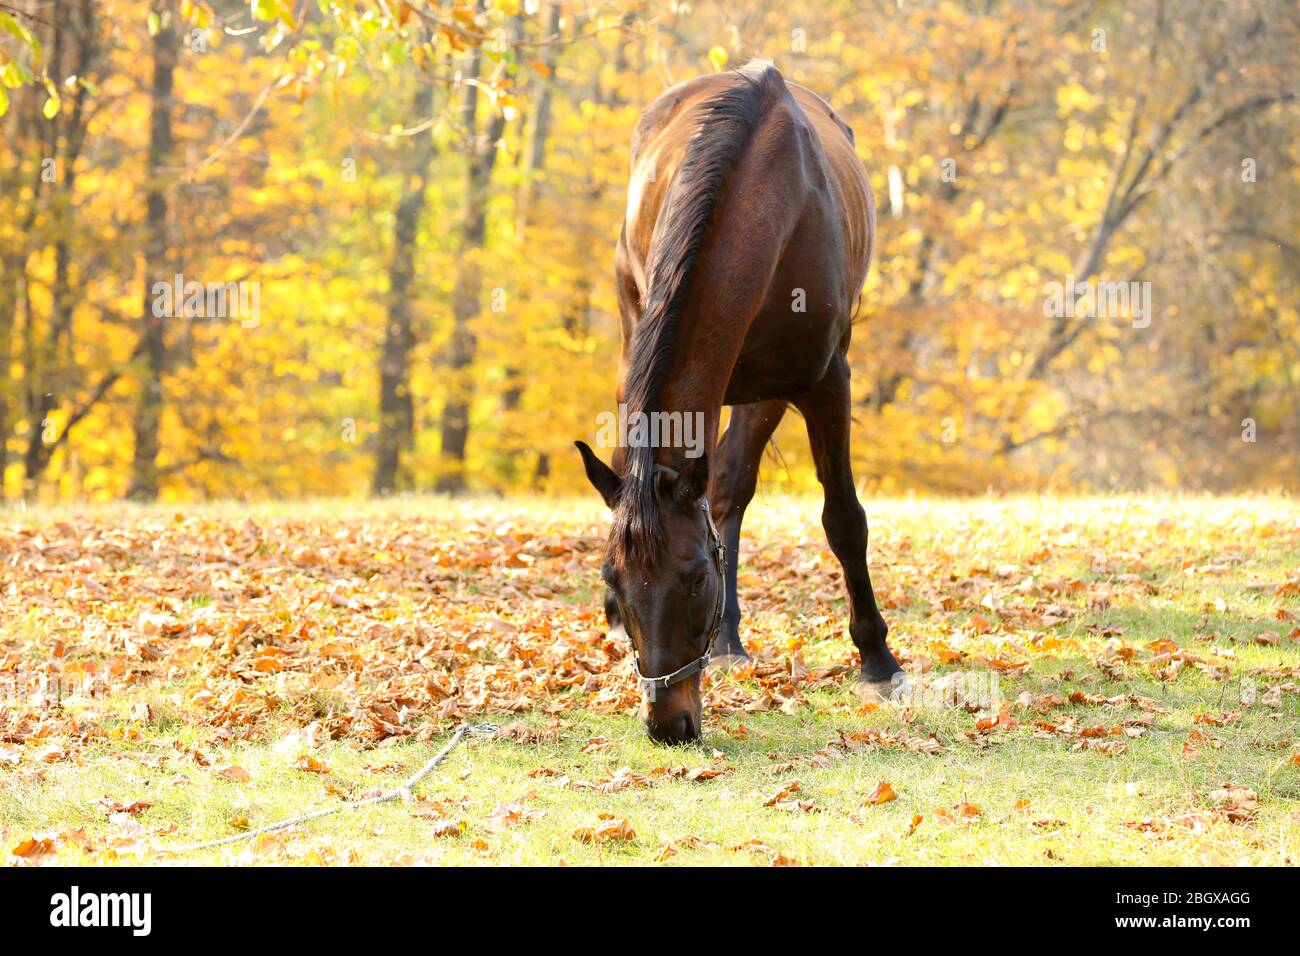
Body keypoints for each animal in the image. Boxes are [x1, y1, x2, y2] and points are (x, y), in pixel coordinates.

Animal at [575, 59, 902, 744]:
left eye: (697, 578)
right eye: (616, 581)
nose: (668, 724)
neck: (762, 198)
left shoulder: (822, 382)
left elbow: (843, 519)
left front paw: (878, 660)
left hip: (762, 394)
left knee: (729, 485)